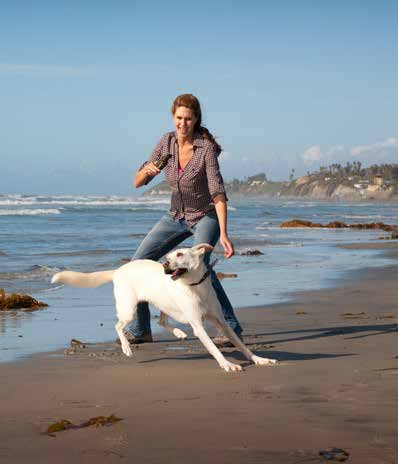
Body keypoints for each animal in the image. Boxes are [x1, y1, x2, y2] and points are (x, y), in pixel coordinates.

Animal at [51, 245, 276, 372]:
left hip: (163, 302)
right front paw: (227, 364)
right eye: (168, 257)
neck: (196, 287)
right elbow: (213, 349)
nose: (165, 265)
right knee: (118, 325)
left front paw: (259, 359)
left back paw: (178, 332)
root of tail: (118, 270)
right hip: (129, 308)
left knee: (161, 320)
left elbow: (241, 345)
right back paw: (126, 348)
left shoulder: (222, 322)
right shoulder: (198, 326)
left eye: (180, 254)